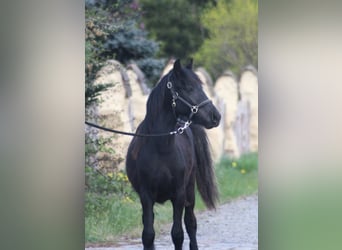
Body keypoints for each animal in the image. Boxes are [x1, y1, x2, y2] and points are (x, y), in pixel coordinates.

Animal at [127, 59, 220, 250]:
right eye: (188, 87)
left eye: (201, 86)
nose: (216, 116)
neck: (161, 148)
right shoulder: (146, 196)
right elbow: (148, 234)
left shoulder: (179, 194)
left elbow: (178, 233)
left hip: (190, 191)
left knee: (191, 223)